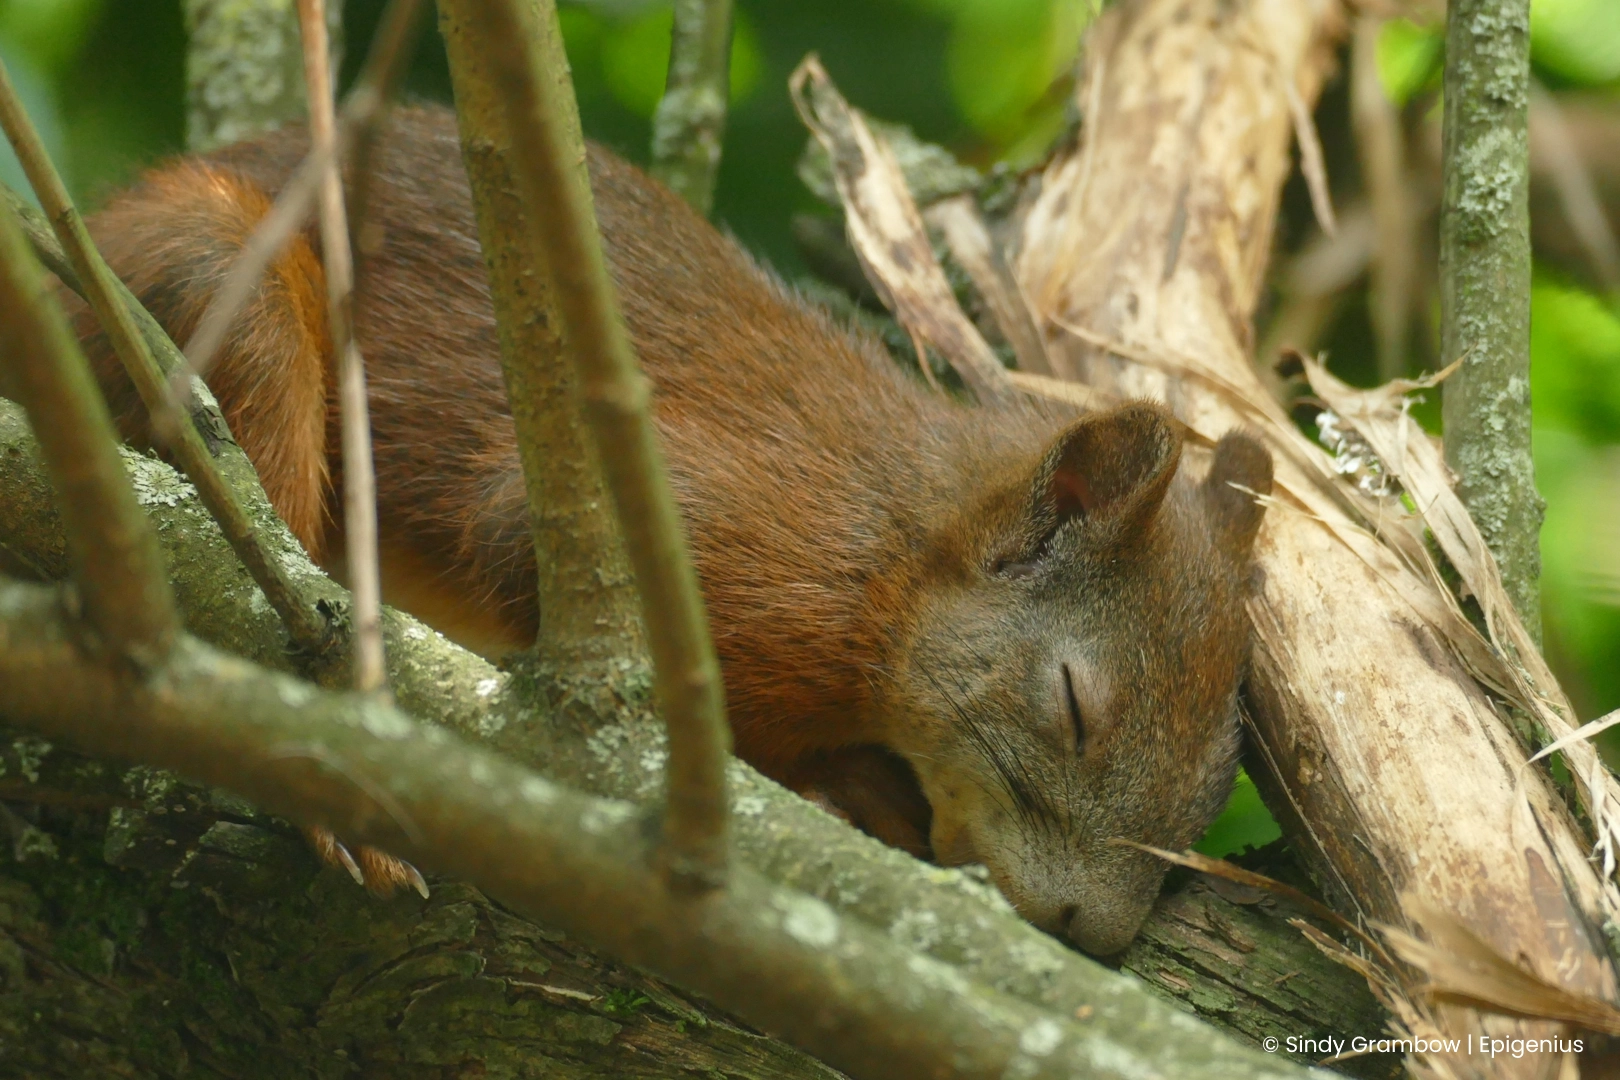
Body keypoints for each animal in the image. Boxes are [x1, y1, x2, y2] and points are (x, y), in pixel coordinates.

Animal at [67, 104, 1273, 955]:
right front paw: (835, 788)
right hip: (214, 283)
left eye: (1213, 790)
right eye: (1072, 707)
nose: (1090, 936)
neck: (890, 558)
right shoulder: (721, 535)